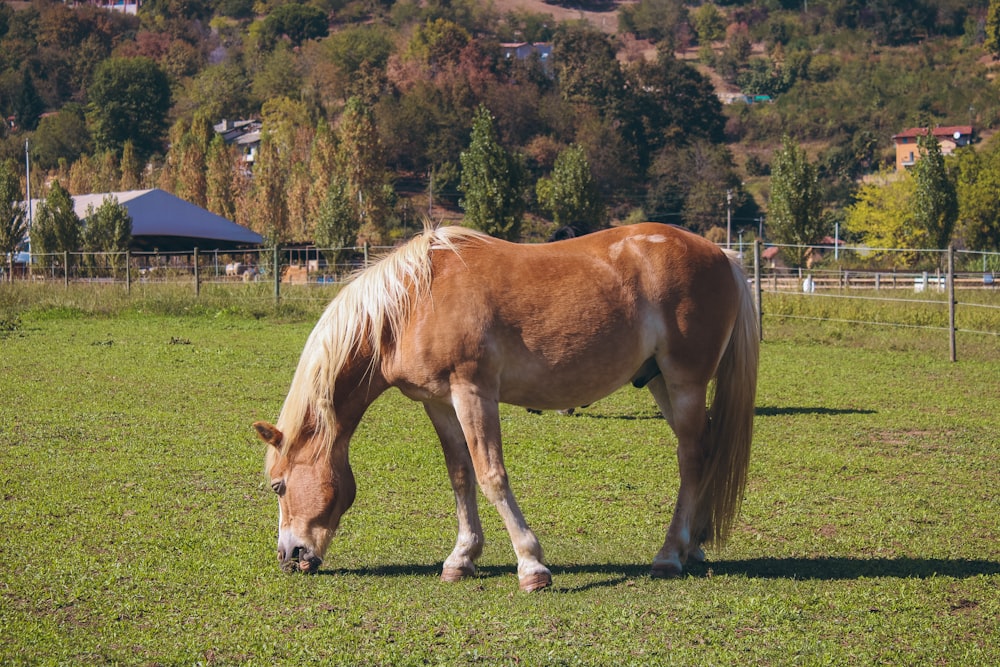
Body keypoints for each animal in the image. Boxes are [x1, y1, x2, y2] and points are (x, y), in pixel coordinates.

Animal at [252, 226, 756, 596]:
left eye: (279, 486)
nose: (288, 557)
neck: (412, 305)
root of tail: (723, 256)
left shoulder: (473, 390)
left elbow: (491, 474)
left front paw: (531, 566)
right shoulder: (439, 401)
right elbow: (461, 475)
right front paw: (461, 559)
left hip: (684, 381)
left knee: (691, 457)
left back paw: (670, 555)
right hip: (658, 381)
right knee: (703, 449)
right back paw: (694, 546)